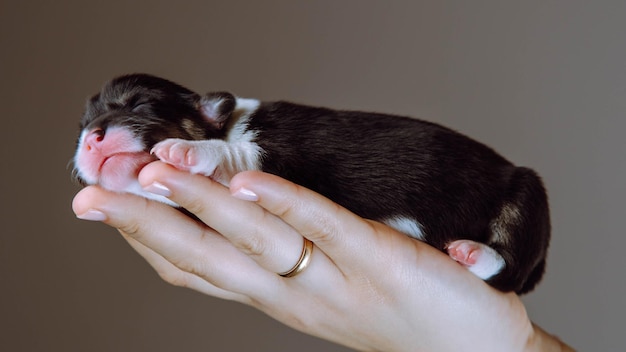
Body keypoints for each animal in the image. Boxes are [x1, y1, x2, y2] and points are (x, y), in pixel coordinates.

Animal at [73, 74, 548, 294]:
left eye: (139, 104)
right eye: (81, 125)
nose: (91, 138)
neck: (229, 125)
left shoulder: (292, 152)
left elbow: (241, 156)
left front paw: (186, 152)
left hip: (528, 194)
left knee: (510, 270)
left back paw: (473, 254)